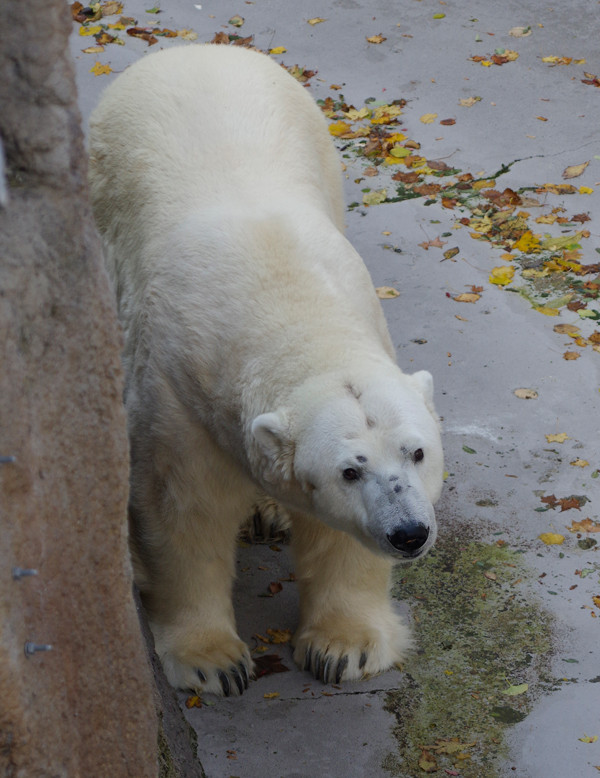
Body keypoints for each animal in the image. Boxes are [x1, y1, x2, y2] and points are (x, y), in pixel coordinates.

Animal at [89, 45, 446, 696]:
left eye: (418, 452)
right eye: (349, 471)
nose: (409, 533)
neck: (290, 308)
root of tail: (193, 47)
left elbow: (339, 539)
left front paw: (343, 647)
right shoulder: (179, 398)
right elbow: (183, 515)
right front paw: (212, 660)